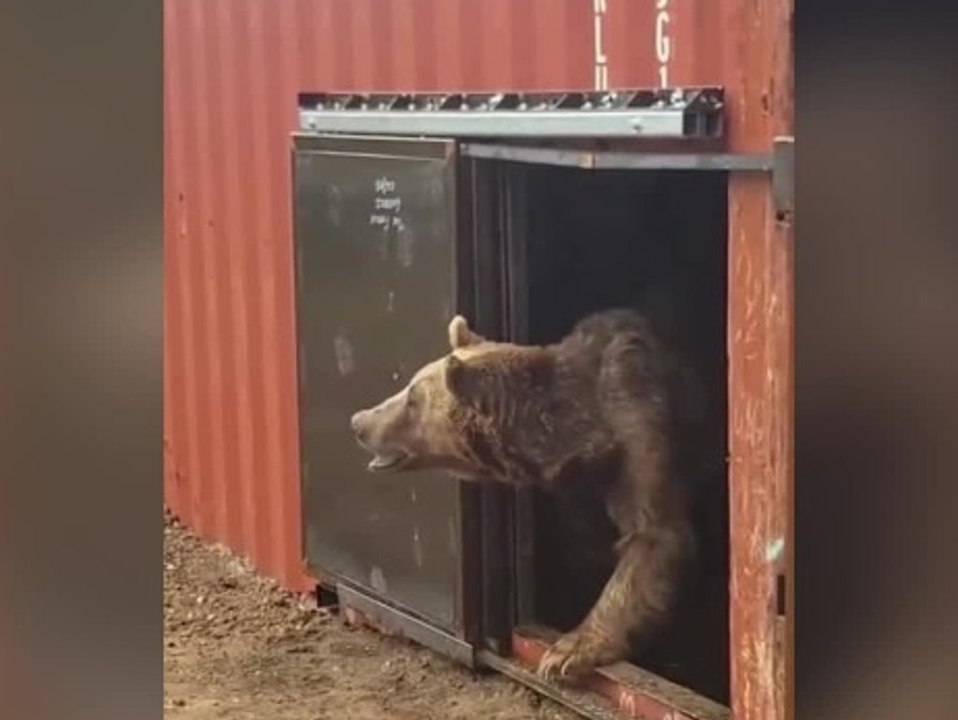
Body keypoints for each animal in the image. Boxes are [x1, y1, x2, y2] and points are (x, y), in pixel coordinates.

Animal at [349, 308, 698, 681]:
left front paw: (566, 652)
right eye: (409, 389)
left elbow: (651, 537)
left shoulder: (640, 434)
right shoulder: (575, 495)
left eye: (413, 399)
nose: (359, 422)